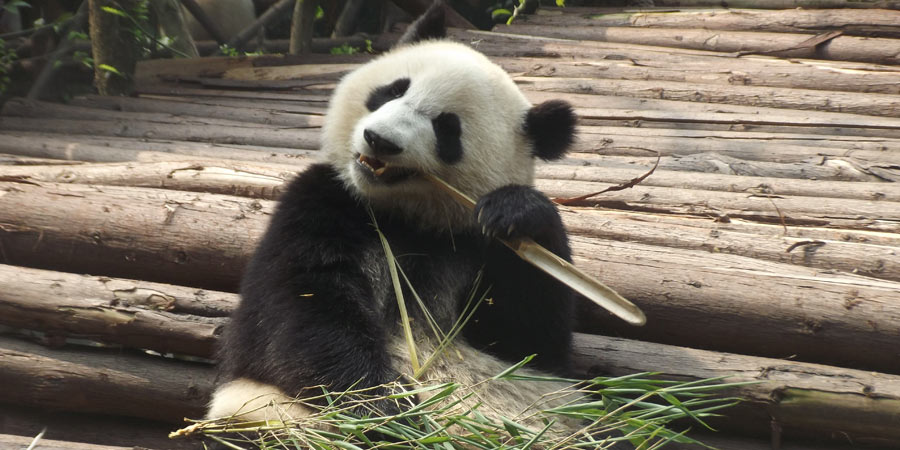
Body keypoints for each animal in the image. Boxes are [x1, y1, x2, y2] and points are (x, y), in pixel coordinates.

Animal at [207, 0, 580, 438]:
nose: (380, 140)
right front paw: (386, 409)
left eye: (447, 128)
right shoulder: (323, 203)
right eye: (393, 90)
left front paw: (516, 210)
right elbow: (301, 310)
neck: (404, 215)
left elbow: (532, 340)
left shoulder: (475, 245)